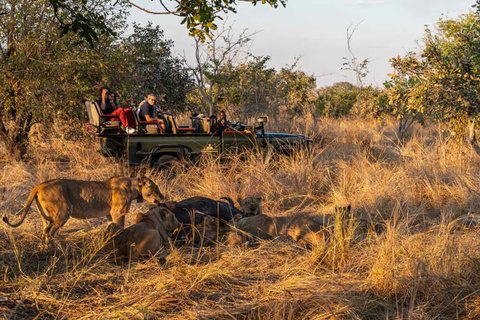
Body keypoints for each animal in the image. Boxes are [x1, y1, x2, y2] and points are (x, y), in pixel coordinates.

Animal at [1, 175, 164, 242]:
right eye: (155, 188)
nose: (163, 197)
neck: (134, 187)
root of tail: (39, 185)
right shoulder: (118, 212)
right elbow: (120, 228)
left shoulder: (109, 215)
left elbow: (112, 227)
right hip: (63, 212)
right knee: (49, 231)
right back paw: (56, 248)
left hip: (45, 216)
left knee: (44, 230)